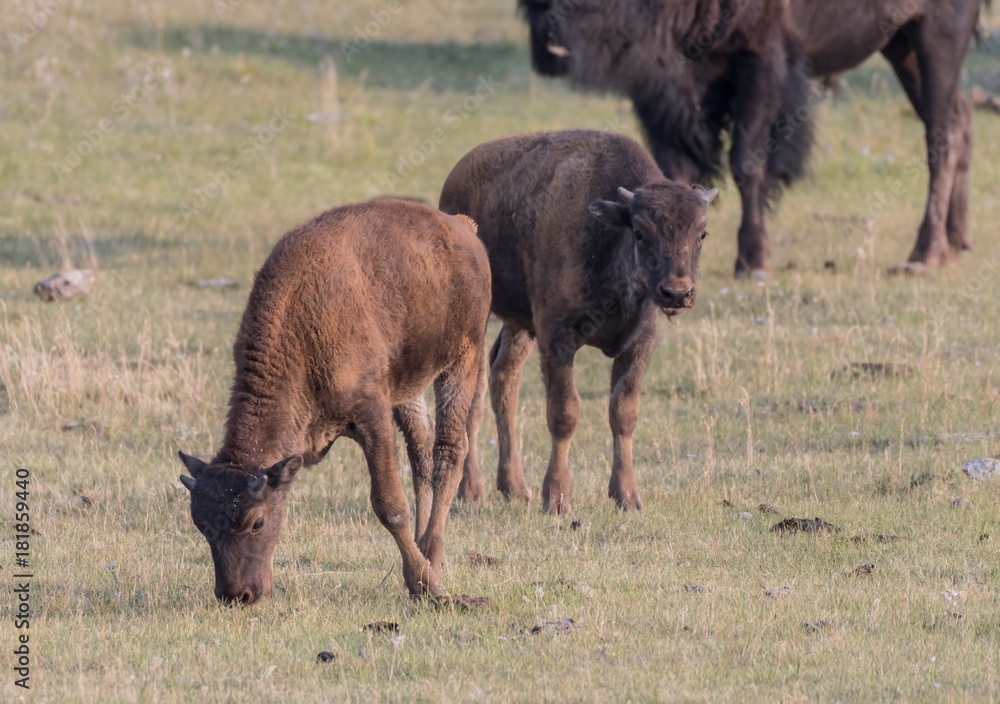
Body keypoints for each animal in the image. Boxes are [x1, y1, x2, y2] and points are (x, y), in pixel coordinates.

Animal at [177, 199, 491, 605]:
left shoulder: (372, 414)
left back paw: (432, 558)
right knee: (422, 451)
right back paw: (425, 550)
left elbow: (389, 505)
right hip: (410, 386)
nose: (236, 595)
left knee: (449, 451)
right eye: (200, 525)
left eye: (256, 522)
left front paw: (423, 585)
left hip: (462, 360)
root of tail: (462, 229)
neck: (298, 331)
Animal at [439, 130, 716, 513]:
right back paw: (471, 490)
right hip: (478, 321)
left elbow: (623, 411)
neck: (609, 235)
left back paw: (514, 487)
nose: (677, 293)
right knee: (473, 397)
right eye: (641, 232)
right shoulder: (557, 337)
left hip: (520, 326)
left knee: (503, 381)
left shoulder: (639, 342)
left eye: (701, 233)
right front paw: (557, 498)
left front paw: (627, 496)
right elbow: (564, 413)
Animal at [517, 0, 985, 278]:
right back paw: (958, 240)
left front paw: (753, 259)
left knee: (941, 134)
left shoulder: (759, 63)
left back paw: (926, 251)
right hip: (901, 45)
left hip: (936, 35)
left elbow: (748, 163)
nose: (550, 38)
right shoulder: (668, 86)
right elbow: (674, 167)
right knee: (959, 119)